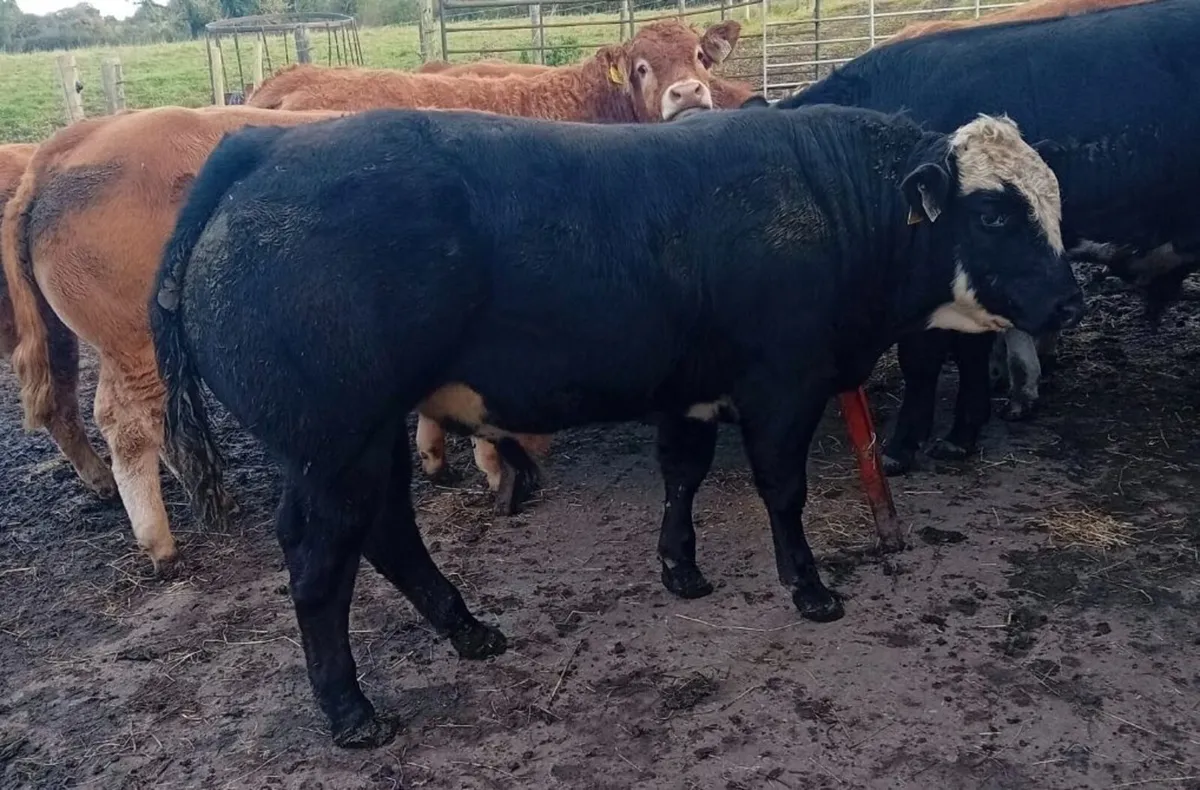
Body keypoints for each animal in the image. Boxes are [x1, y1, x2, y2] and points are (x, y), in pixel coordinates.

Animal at [151, 105, 1081, 747]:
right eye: (994, 215)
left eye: (1053, 205)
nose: (1068, 300)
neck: (828, 199)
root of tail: (263, 147)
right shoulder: (784, 384)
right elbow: (782, 489)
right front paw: (809, 586)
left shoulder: (691, 390)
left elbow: (684, 474)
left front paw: (682, 569)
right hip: (332, 446)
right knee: (320, 563)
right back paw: (350, 710)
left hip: (363, 440)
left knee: (386, 530)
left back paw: (467, 629)